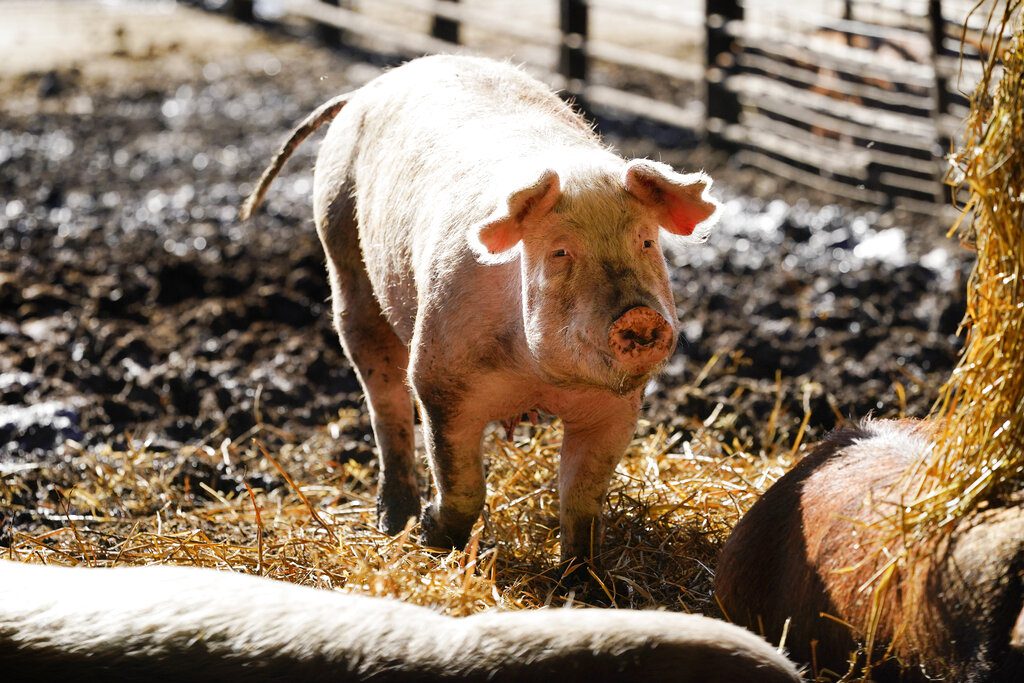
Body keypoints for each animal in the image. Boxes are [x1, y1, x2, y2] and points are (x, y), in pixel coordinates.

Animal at [239, 54, 720, 565]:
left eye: (646, 242)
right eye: (560, 252)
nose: (639, 315)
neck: (538, 378)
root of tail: (368, 89)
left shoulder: (616, 407)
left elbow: (582, 500)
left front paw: (582, 575)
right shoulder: (440, 378)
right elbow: (462, 482)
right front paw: (433, 538)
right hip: (342, 250)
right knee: (384, 398)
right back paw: (394, 522)